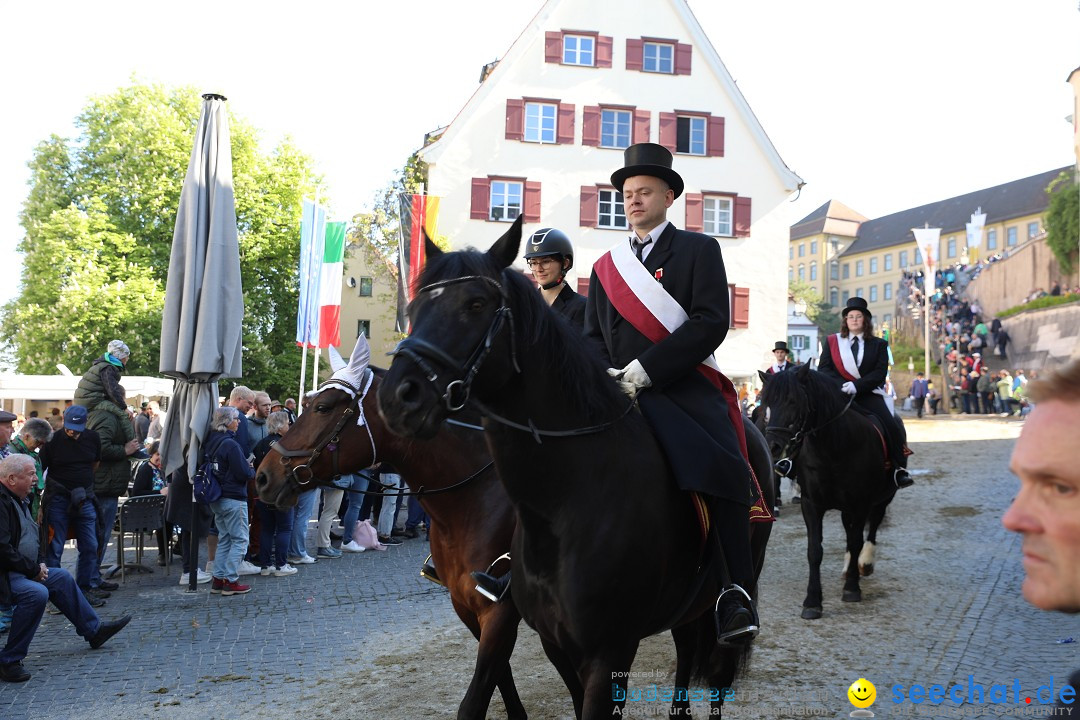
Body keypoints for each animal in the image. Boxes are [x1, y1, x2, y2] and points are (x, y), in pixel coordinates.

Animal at [252, 338, 522, 720]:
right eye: (304, 405)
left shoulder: (500, 612)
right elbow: (503, 678)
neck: (478, 497)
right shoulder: (467, 606)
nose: (262, 476)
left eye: (322, 407)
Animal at [375, 220, 773, 720]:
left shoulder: (610, 650)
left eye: (476, 304)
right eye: (415, 307)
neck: (564, 503)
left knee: (718, 671)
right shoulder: (555, 641)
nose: (397, 397)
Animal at [760, 367, 902, 621]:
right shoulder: (811, 504)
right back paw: (848, 567)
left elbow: (856, 541)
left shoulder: (861, 502)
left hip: (883, 496)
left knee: (873, 525)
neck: (833, 448)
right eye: (767, 403)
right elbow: (815, 550)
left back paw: (864, 563)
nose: (773, 446)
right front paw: (812, 601)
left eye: (793, 401)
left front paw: (852, 589)